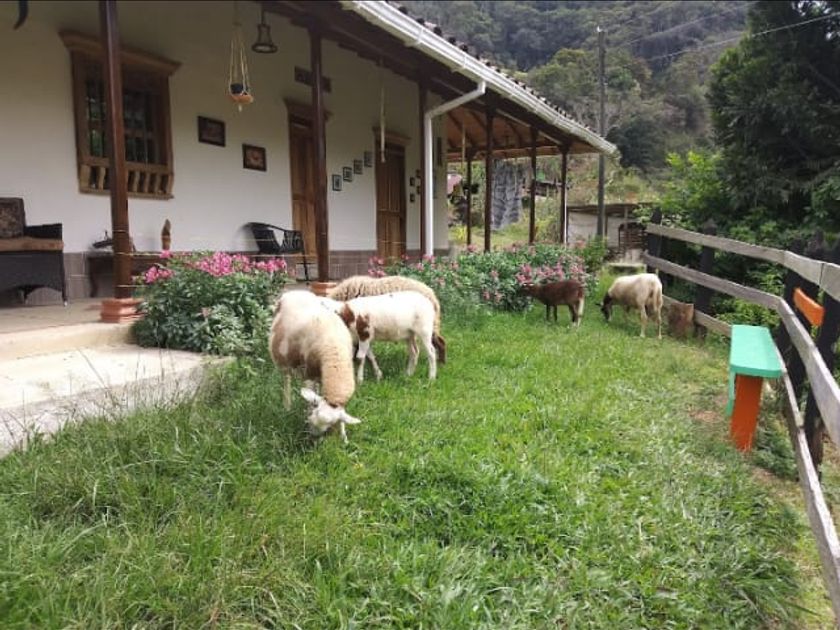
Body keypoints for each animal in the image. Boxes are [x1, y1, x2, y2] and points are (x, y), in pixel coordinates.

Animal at [269, 290, 361, 442]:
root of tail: (294, 291)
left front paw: (344, 437)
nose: (311, 439)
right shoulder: (309, 373)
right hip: (284, 358)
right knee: (286, 380)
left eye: (328, 427)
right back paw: (287, 406)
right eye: (311, 420)